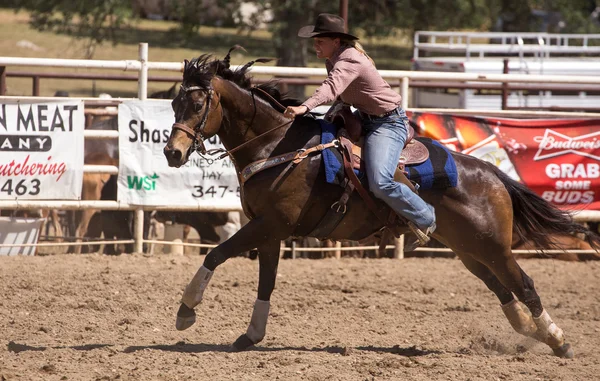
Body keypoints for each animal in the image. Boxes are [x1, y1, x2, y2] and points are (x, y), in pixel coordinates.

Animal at [162, 49, 600, 356]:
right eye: (172, 104)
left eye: (198, 105)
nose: (171, 153)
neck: (278, 146)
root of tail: (492, 175)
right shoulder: (270, 231)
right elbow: (265, 282)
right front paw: (251, 335)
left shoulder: (270, 225)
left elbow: (215, 254)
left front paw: (186, 311)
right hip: (468, 249)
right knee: (501, 288)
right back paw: (528, 330)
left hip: (493, 246)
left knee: (523, 284)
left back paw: (557, 339)